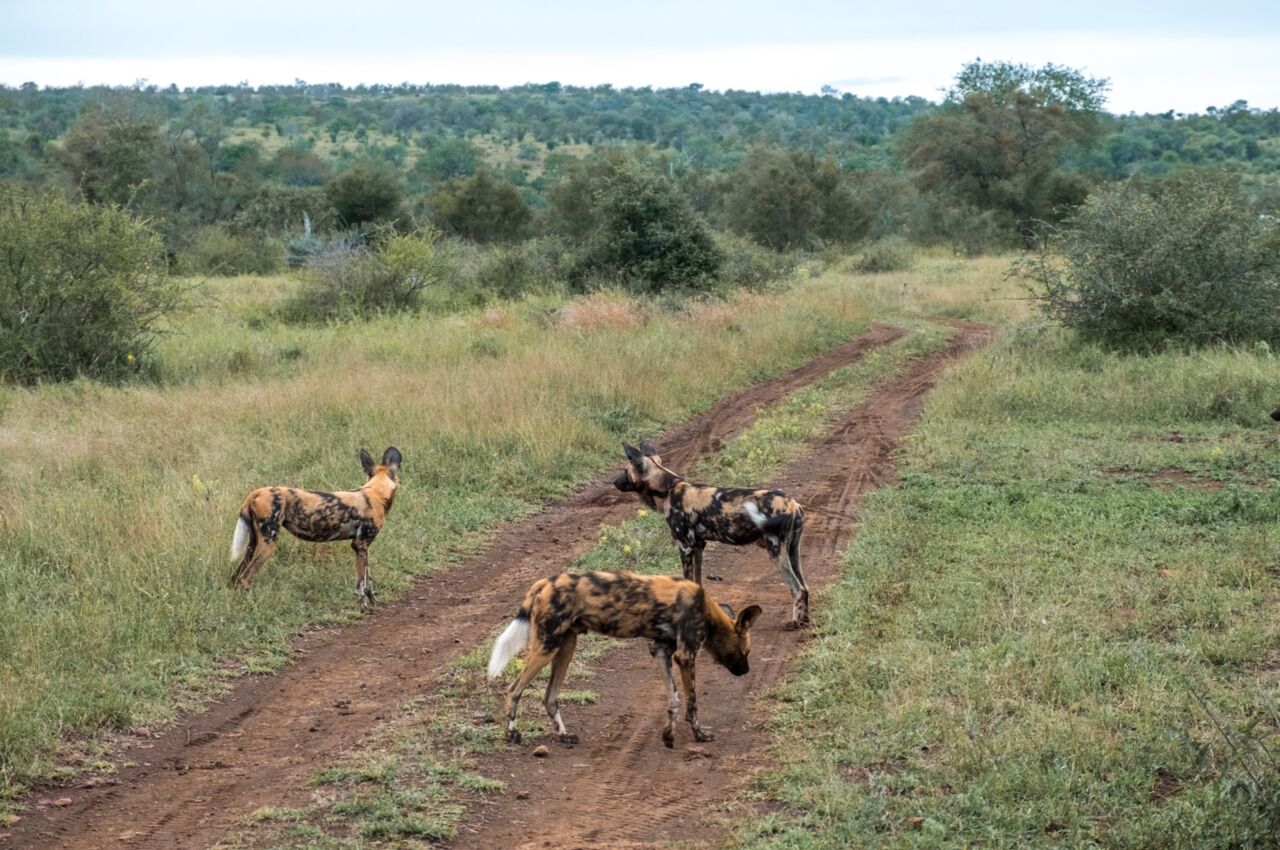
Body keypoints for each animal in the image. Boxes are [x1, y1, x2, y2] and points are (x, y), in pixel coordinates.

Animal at [229, 445, 399, 611]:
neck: (375, 492)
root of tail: (255, 493)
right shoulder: (360, 545)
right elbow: (361, 584)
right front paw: (363, 608)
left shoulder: (362, 548)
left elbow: (368, 580)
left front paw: (374, 602)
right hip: (268, 544)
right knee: (245, 578)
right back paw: (252, 607)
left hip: (253, 545)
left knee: (235, 577)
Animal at [483, 573, 752, 747]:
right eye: (747, 651)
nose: (746, 671)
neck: (707, 611)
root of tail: (546, 582)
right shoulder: (685, 656)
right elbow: (692, 704)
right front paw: (699, 735)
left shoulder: (661, 652)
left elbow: (673, 699)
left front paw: (668, 734)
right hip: (546, 648)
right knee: (513, 689)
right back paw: (513, 734)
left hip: (566, 647)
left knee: (549, 697)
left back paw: (564, 735)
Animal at [609, 440, 808, 627]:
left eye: (625, 471)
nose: (614, 482)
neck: (668, 489)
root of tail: (792, 503)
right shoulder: (698, 547)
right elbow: (698, 583)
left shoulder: (685, 547)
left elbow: (688, 580)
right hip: (792, 551)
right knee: (805, 587)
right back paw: (805, 622)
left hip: (775, 551)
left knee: (797, 588)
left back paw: (794, 624)